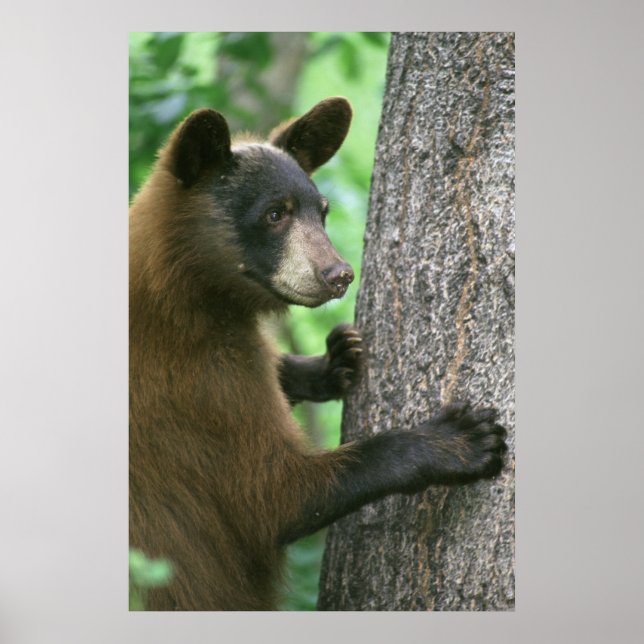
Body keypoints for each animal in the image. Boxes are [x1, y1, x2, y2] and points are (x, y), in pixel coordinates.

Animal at [129, 96, 507, 610]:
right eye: (275, 214)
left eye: (321, 211)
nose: (339, 274)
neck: (184, 293)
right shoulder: (197, 384)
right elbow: (271, 494)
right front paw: (458, 441)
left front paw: (332, 362)